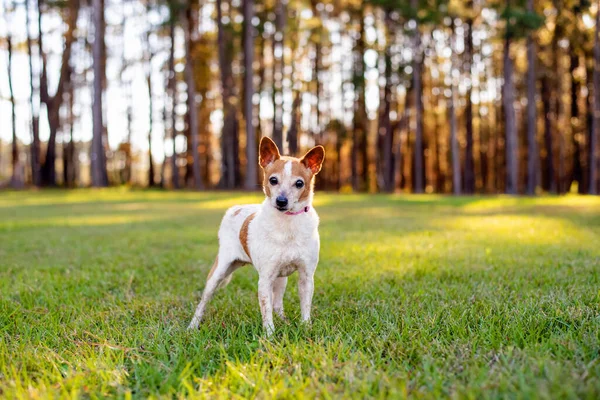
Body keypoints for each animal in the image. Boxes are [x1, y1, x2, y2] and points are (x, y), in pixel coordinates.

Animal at [190, 137, 326, 334]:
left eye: (299, 183)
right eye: (273, 180)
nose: (281, 201)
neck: (288, 224)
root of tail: (236, 208)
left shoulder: (306, 277)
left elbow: (305, 307)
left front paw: (306, 328)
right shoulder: (265, 279)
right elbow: (266, 310)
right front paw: (269, 335)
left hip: (281, 279)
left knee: (277, 304)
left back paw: (284, 321)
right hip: (219, 272)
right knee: (203, 302)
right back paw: (192, 326)